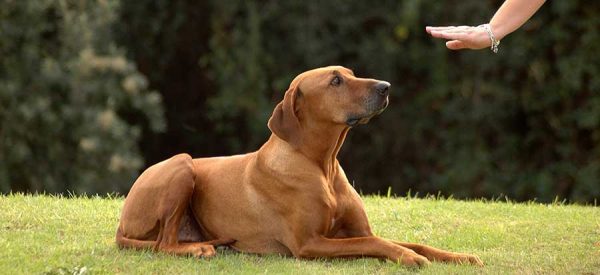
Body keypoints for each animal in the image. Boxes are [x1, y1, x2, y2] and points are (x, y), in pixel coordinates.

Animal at [117, 66, 482, 268]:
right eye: (335, 81)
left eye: (351, 74)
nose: (386, 87)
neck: (322, 165)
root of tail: (122, 223)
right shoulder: (309, 244)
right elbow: (376, 244)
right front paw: (408, 258)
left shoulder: (358, 230)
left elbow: (410, 242)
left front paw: (460, 257)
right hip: (182, 164)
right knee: (163, 244)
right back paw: (198, 249)